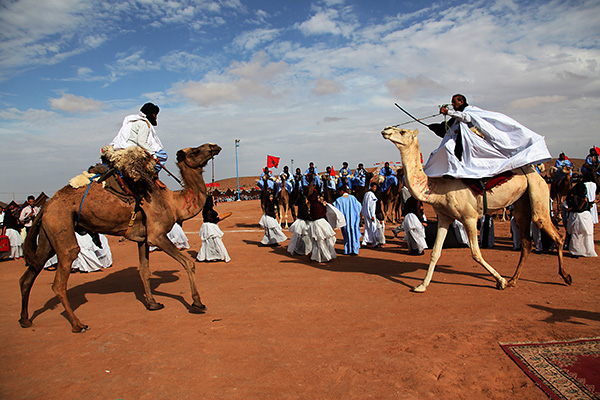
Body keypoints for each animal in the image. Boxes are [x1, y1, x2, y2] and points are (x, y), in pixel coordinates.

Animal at [18, 143, 221, 332]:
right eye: (195, 150)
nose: (214, 146)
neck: (173, 203)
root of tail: (46, 206)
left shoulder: (143, 239)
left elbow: (144, 271)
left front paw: (152, 304)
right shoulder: (157, 235)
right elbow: (188, 263)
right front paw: (197, 303)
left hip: (48, 235)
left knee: (29, 273)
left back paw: (25, 320)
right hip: (61, 225)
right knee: (60, 280)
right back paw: (78, 324)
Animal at [380, 126, 572, 292]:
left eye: (402, 131)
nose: (386, 130)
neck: (437, 188)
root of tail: (535, 171)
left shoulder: (469, 217)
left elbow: (476, 253)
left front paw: (500, 281)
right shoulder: (444, 217)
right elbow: (435, 252)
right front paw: (421, 286)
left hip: (537, 190)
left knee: (552, 232)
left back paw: (565, 276)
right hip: (522, 202)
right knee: (526, 242)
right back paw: (513, 280)